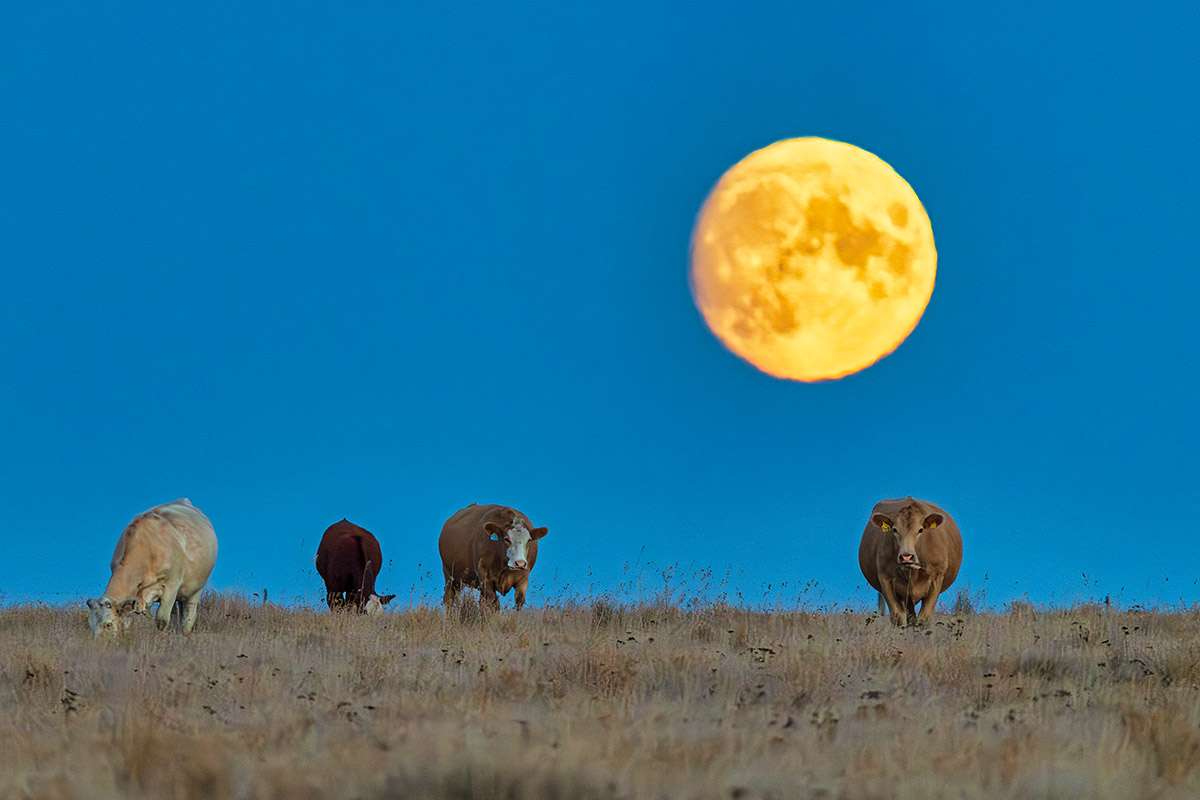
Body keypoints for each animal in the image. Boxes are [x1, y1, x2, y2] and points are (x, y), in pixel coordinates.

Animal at [86, 498, 218, 638]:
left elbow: (162, 620)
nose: (97, 642)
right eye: (90, 625)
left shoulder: (172, 585)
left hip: (196, 589)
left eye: (108, 624)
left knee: (189, 615)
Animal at [858, 496, 963, 627]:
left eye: (920, 530)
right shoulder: (885, 579)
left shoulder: (937, 578)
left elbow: (924, 617)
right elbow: (898, 616)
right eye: (894, 530)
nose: (906, 557)